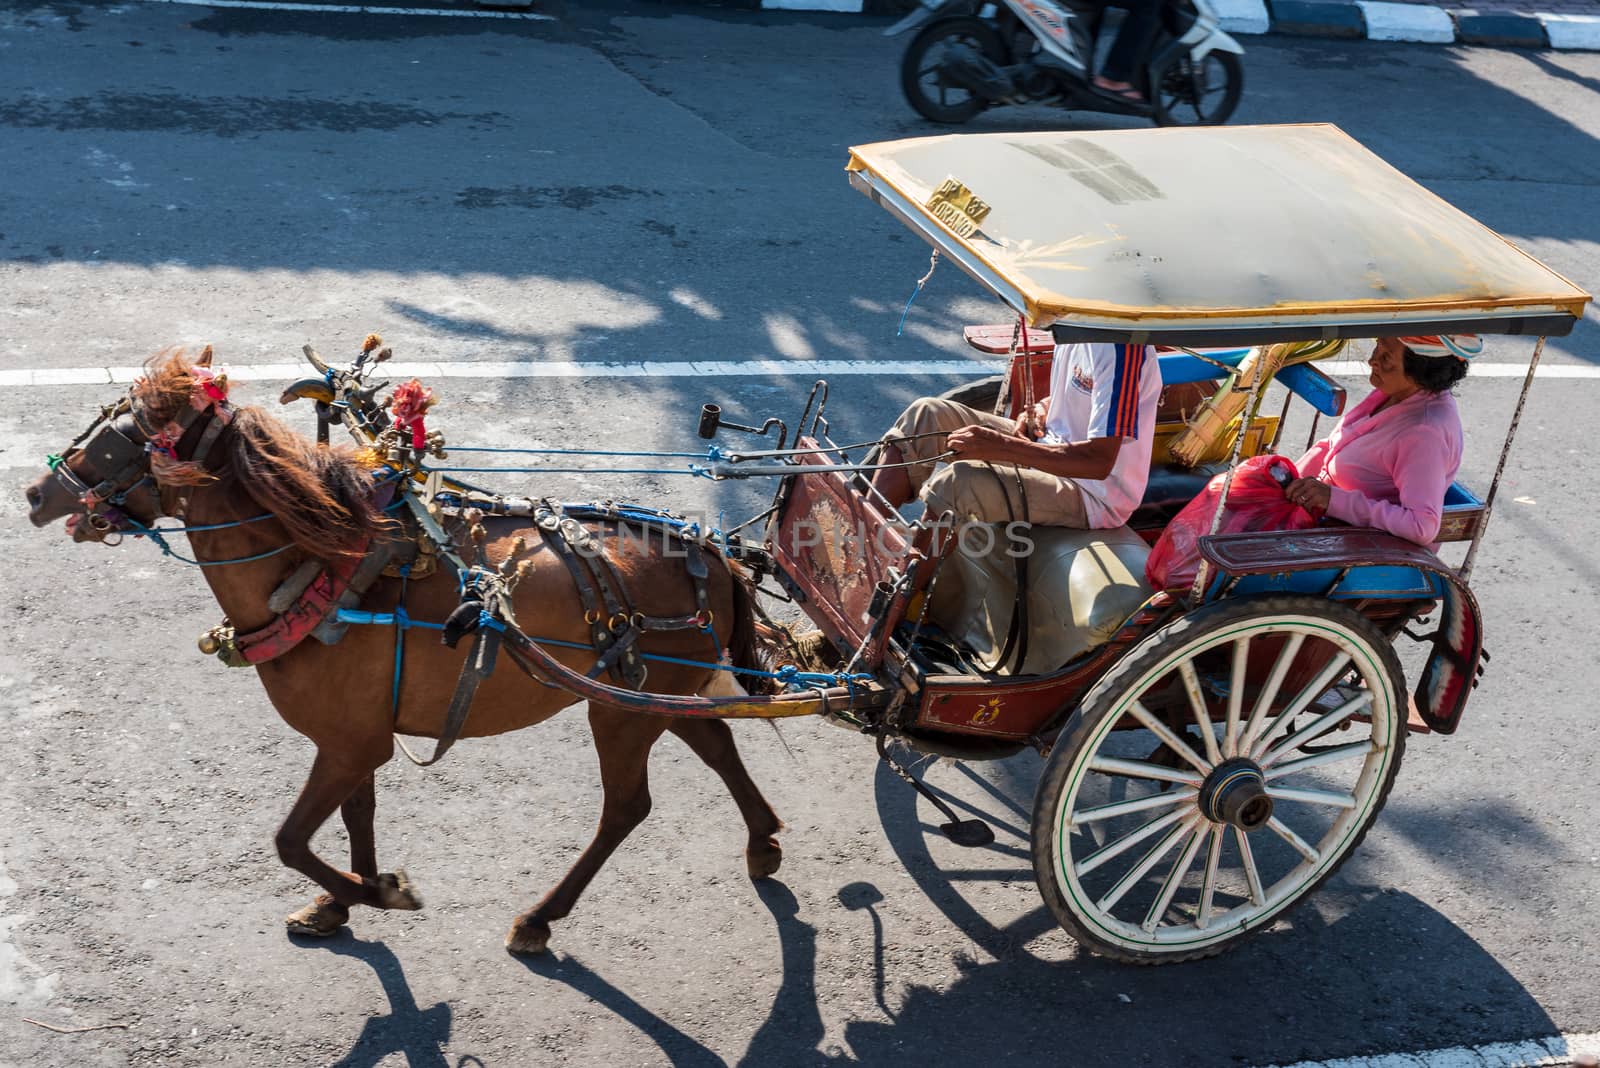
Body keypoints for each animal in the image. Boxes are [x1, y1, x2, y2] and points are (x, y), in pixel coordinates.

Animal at [25, 346, 787, 952]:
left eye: (119, 440)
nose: (35, 494)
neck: (318, 566)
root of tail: (713, 551)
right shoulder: (354, 737)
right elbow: (356, 813)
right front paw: (342, 898)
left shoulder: (350, 742)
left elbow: (291, 840)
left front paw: (380, 891)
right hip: (661, 691)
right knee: (716, 744)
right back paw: (763, 840)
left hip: (624, 707)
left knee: (628, 806)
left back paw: (541, 917)